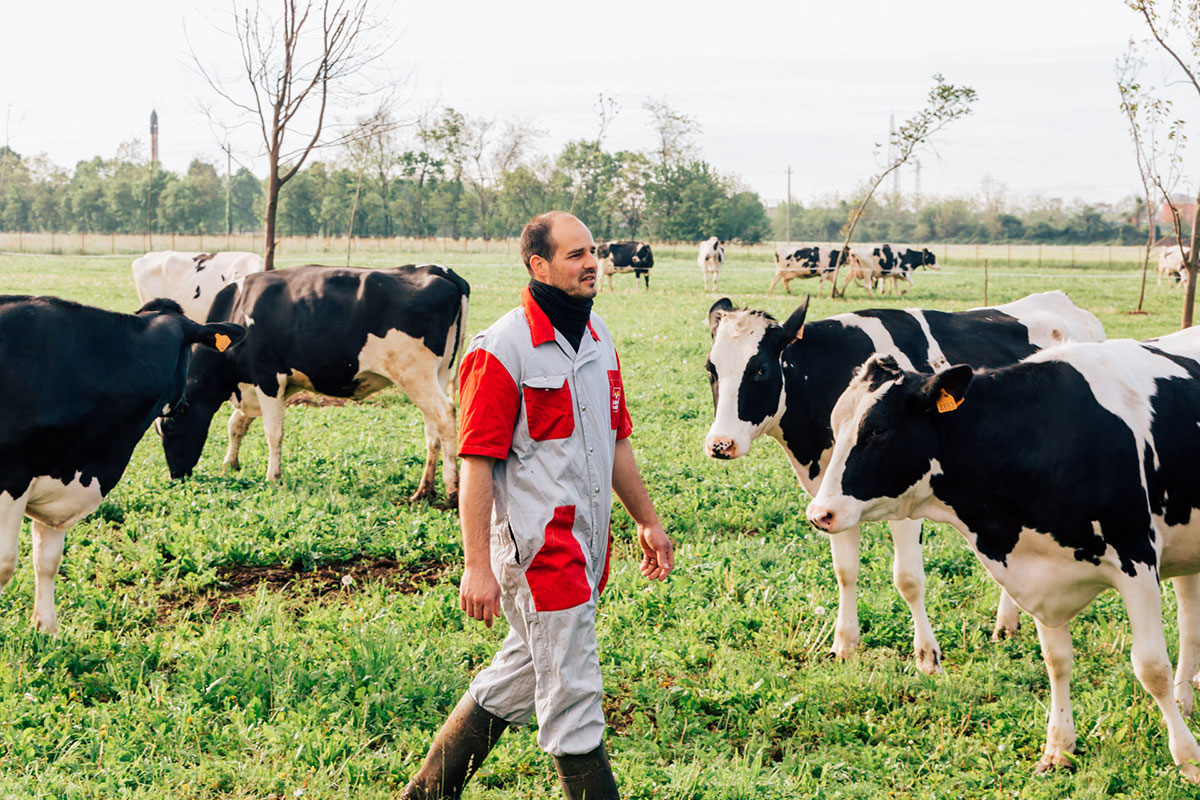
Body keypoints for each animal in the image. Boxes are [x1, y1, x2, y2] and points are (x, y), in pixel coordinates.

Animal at [158, 262, 472, 503]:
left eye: (169, 428)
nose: (176, 476)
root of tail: (439, 271)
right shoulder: (264, 385)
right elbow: (236, 424)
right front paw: (230, 465)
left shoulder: (268, 378)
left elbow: (273, 433)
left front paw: (272, 477)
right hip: (436, 374)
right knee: (432, 429)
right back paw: (424, 490)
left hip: (414, 373)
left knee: (445, 415)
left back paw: (451, 490)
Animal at [700, 291, 1104, 671]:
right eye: (710, 369)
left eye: (760, 370)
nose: (721, 444)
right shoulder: (834, 497)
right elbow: (845, 571)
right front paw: (843, 646)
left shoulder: (906, 503)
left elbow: (908, 578)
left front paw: (927, 655)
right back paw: (1007, 624)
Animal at [806, 326, 1200, 782]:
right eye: (836, 426)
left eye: (878, 431)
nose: (819, 513)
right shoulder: (1040, 573)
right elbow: (1057, 660)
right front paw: (1058, 748)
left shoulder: (1136, 558)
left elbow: (1151, 666)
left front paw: (1187, 758)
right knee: (1190, 621)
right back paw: (1186, 701)